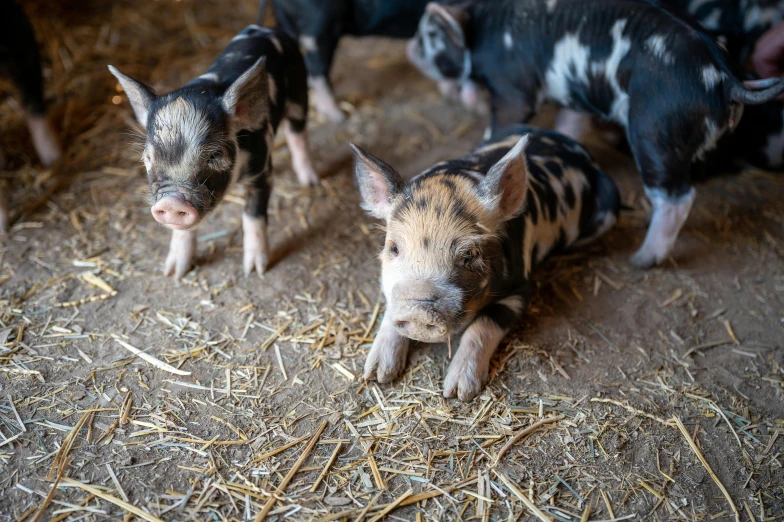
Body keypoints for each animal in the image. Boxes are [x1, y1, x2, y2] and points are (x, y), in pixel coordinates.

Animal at [110, 25, 318, 276]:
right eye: (148, 157)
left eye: (215, 155)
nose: (171, 203)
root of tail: (265, 28)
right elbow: (183, 229)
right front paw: (174, 272)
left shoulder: (262, 172)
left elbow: (253, 215)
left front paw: (255, 270)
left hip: (299, 90)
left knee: (298, 134)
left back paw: (311, 182)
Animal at [354, 125, 620, 398]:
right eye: (393, 248)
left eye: (469, 254)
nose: (418, 310)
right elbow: (390, 310)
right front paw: (377, 375)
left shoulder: (521, 289)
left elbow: (484, 323)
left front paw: (459, 391)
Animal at [408, 0, 784, 266]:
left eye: (430, 36)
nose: (410, 48)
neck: (485, 28)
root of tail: (725, 79)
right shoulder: (575, 94)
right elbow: (570, 125)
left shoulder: (512, 86)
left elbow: (502, 122)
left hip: (654, 130)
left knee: (678, 197)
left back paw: (641, 259)